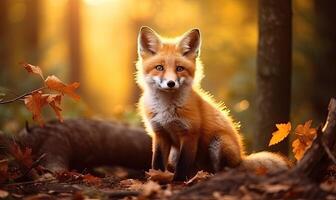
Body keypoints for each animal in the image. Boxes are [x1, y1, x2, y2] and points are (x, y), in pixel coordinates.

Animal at [136, 25, 292, 180]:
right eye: (159, 68)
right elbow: (156, 164)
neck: (166, 109)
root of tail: (241, 158)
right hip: (176, 154)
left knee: (224, 170)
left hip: (219, 142)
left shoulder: (190, 134)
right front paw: (155, 179)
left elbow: (182, 166)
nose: (171, 83)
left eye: (179, 68)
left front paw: (177, 182)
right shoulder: (160, 133)